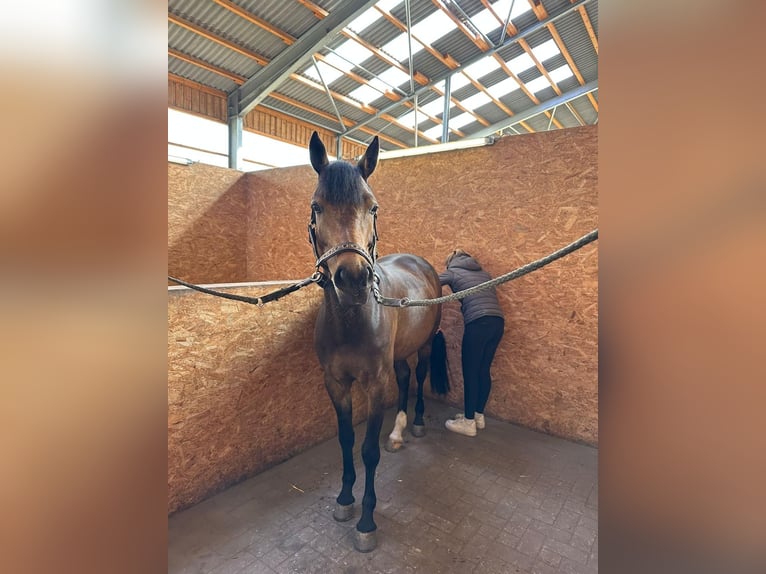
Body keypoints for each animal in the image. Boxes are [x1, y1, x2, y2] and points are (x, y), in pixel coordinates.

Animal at [308, 132, 448, 552]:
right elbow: (345, 439)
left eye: (372, 207)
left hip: (423, 347)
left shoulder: (373, 384)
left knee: (418, 378)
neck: (353, 320)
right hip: (397, 357)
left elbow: (367, 450)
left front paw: (367, 521)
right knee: (403, 379)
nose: (352, 278)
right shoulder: (336, 383)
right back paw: (398, 433)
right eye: (317, 206)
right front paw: (344, 499)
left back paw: (413, 424)